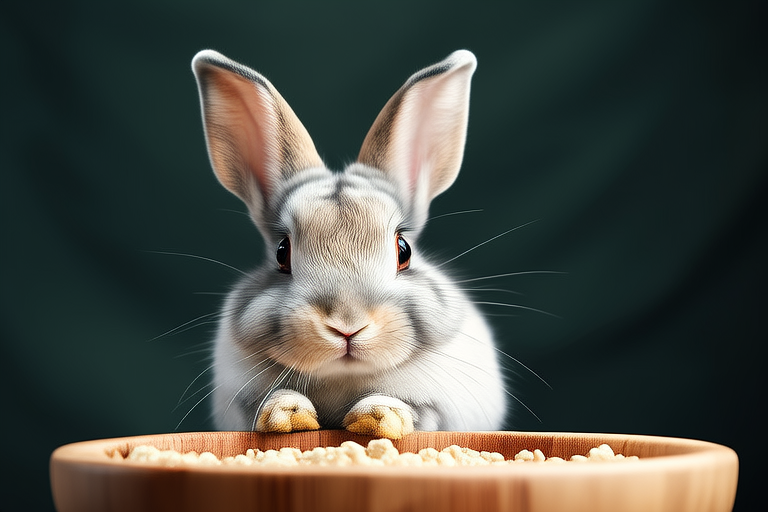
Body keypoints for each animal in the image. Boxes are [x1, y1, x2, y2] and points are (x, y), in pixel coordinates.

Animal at [191, 49, 506, 439]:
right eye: (282, 252)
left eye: (404, 251)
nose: (347, 325)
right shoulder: (239, 399)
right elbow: (266, 403)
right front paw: (287, 415)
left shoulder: (442, 407)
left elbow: (413, 410)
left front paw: (377, 417)